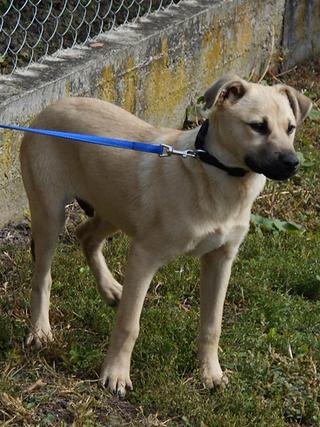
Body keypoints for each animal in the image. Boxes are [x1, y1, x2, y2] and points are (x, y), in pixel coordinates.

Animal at [18, 74, 312, 398]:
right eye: (258, 126)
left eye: (290, 128)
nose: (293, 162)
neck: (212, 176)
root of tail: (45, 111)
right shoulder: (144, 255)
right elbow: (129, 324)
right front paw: (116, 374)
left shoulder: (221, 259)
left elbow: (213, 324)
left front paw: (210, 373)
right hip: (50, 215)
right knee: (43, 277)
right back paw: (40, 330)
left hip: (115, 210)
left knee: (85, 235)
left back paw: (110, 289)